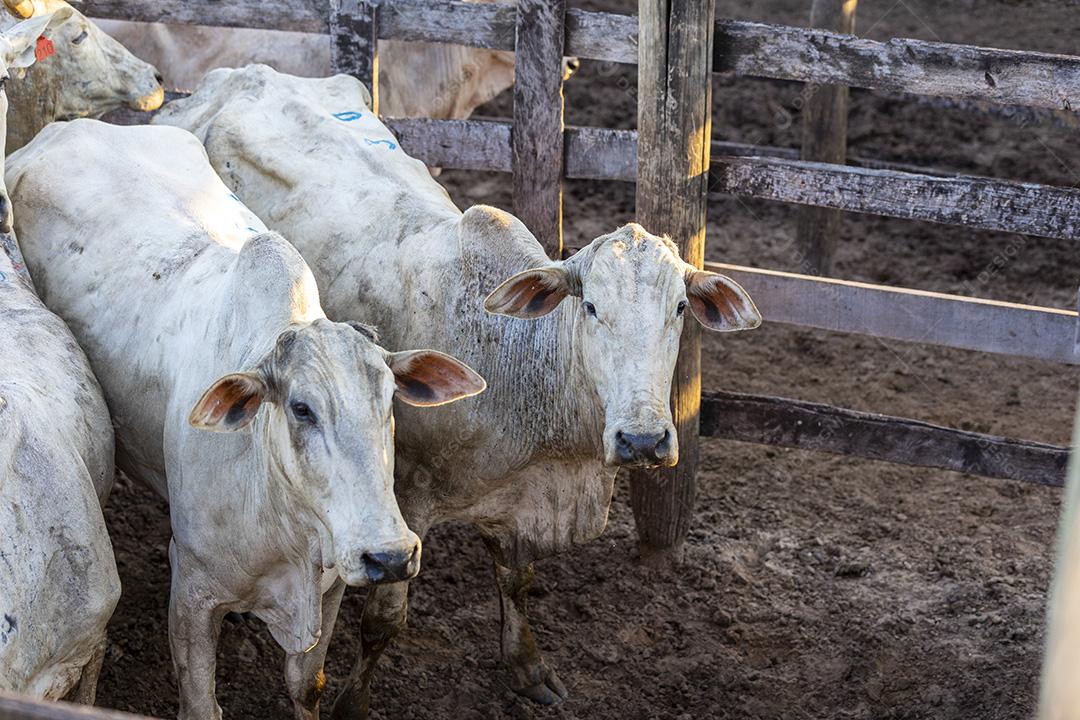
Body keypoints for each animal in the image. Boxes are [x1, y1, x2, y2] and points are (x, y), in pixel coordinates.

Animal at [6, 118, 486, 720]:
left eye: (389, 398)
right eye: (302, 408)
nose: (390, 556)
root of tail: (67, 126)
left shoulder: (331, 586)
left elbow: (307, 684)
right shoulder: (192, 593)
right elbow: (201, 703)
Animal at [156, 65, 762, 718]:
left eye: (680, 308)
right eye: (592, 307)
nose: (643, 439)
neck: (514, 363)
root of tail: (228, 77)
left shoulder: (517, 499)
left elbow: (516, 579)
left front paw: (526, 666)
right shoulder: (408, 499)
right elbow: (382, 622)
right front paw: (352, 703)